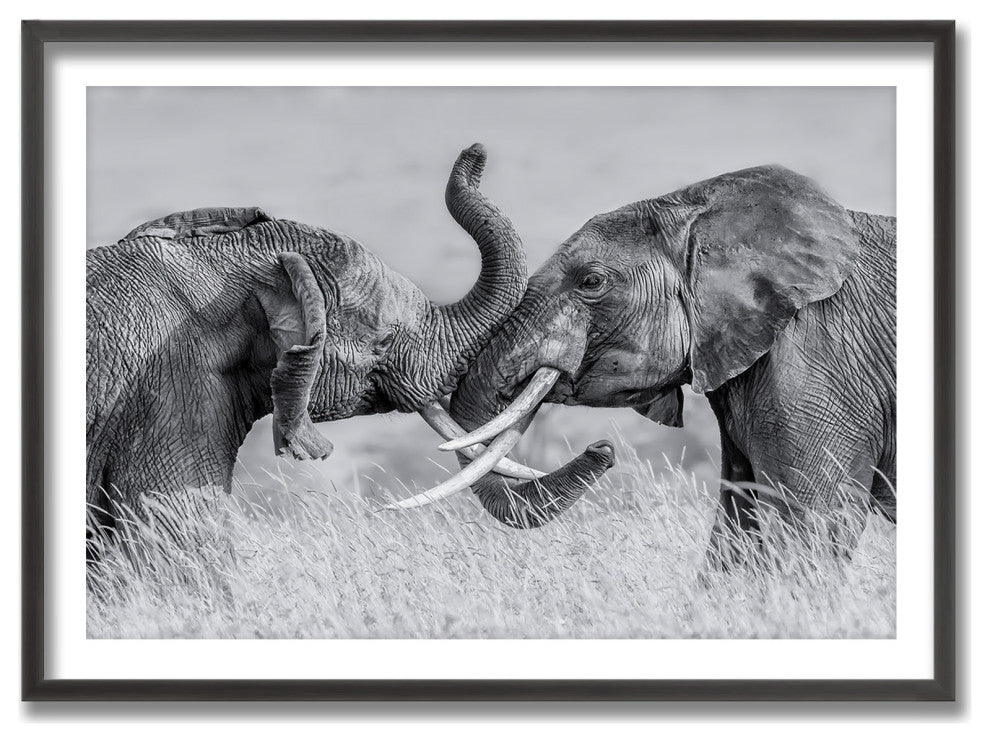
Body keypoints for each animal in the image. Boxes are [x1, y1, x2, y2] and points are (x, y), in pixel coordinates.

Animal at [391, 164, 896, 562]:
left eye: (590, 282)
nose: (602, 449)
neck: (705, 212)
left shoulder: (819, 359)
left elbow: (809, 528)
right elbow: (736, 529)